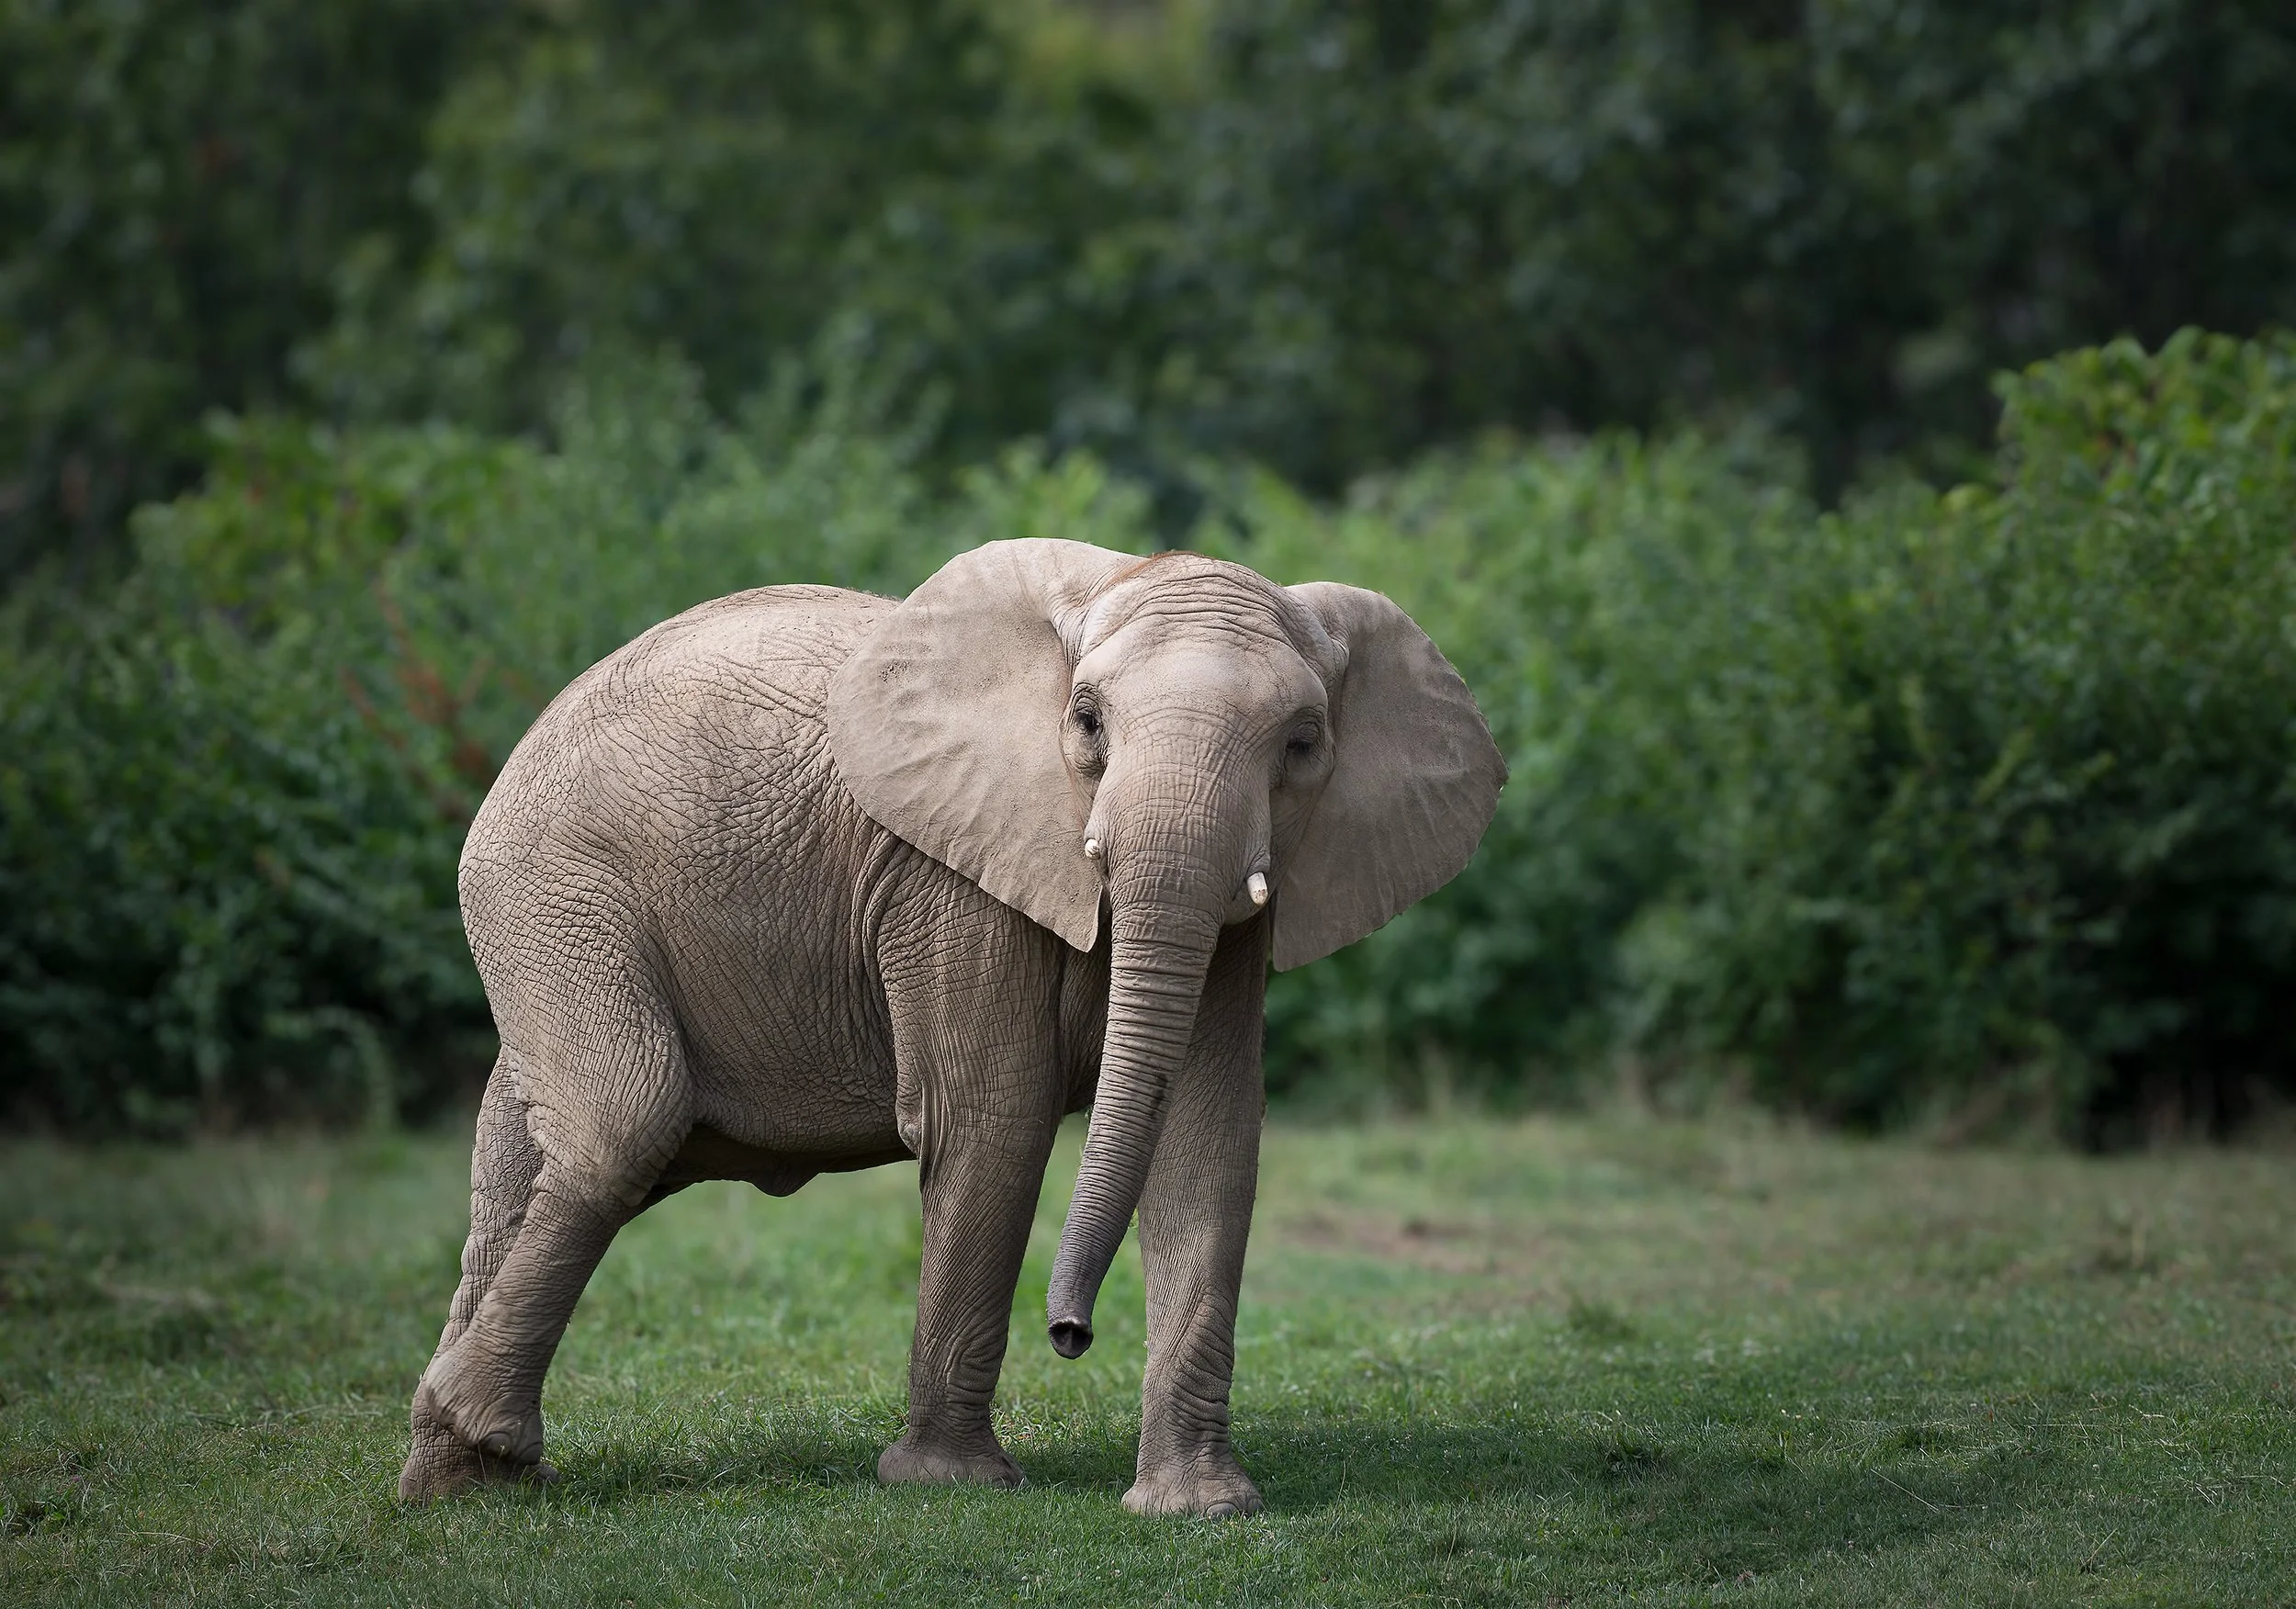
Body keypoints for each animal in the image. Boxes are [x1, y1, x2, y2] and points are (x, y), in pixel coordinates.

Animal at [397, 538, 1504, 1516]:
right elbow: (990, 1123)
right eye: (1087, 722)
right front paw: (950, 1486)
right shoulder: (948, 881)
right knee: (622, 1121)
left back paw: (464, 1484)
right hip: (549, 884)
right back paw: (476, 1444)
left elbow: (1208, 1143)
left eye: (1303, 744)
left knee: (518, 1163)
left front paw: (1200, 1509)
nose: (1070, 1335)